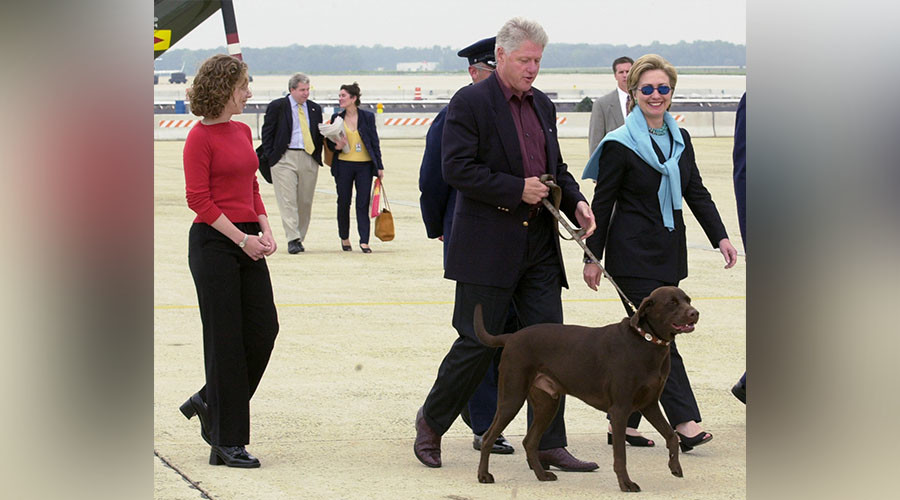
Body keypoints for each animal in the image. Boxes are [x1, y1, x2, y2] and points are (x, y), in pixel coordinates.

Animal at [474, 286, 700, 492]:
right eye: (672, 303)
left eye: (687, 300)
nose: (695, 313)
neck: (647, 341)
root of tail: (511, 337)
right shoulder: (620, 410)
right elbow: (620, 456)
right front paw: (626, 484)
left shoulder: (650, 405)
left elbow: (671, 435)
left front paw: (675, 467)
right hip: (512, 397)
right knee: (489, 437)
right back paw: (484, 476)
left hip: (547, 403)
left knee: (529, 442)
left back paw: (542, 475)